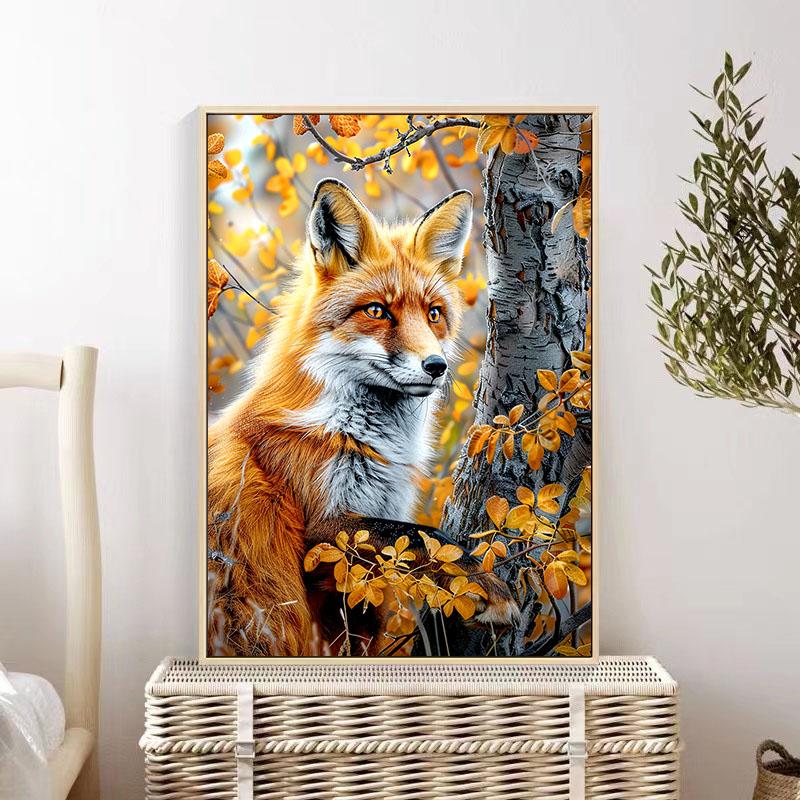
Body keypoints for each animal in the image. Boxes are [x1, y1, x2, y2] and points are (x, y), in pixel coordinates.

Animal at [207, 178, 518, 657]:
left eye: (433, 314)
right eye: (377, 311)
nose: (436, 366)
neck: (361, 440)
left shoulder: (350, 592)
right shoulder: (320, 532)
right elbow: (421, 535)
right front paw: (486, 585)